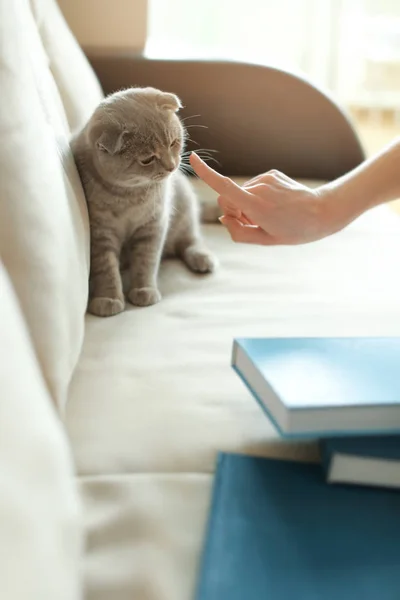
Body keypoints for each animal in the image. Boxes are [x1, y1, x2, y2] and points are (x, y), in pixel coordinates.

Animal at [70, 87, 217, 318]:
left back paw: (202, 258)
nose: (172, 166)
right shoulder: (101, 234)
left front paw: (144, 290)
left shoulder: (153, 226)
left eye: (173, 143)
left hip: (185, 207)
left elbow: (146, 262)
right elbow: (106, 269)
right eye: (148, 159)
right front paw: (109, 298)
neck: (128, 195)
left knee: (190, 240)